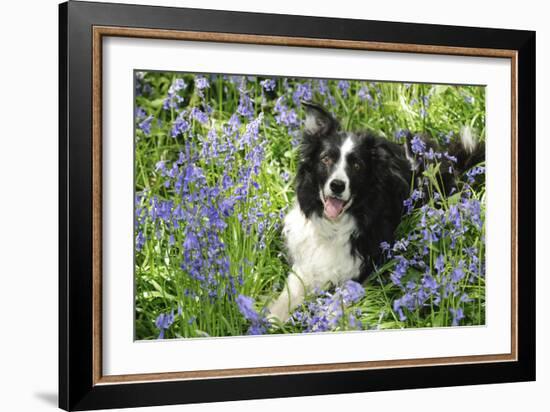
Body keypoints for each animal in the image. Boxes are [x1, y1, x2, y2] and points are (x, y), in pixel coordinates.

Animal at [270, 102, 486, 322]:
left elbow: (334, 305)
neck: (334, 226)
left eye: (357, 165)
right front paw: (270, 318)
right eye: (326, 159)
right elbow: (289, 294)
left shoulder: (365, 267)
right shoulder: (306, 262)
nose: (337, 185)